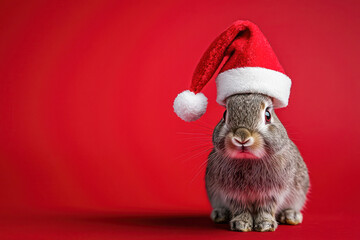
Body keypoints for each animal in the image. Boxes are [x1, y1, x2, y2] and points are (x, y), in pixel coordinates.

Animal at [205, 93, 310, 232]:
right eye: (224, 114)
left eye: (268, 115)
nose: (242, 137)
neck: (248, 160)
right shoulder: (234, 195)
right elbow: (240, 209)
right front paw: (241, 224)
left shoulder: (271, 193)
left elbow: (266, 209)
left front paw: (265, 225)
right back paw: (220, 214)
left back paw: (290, 216)